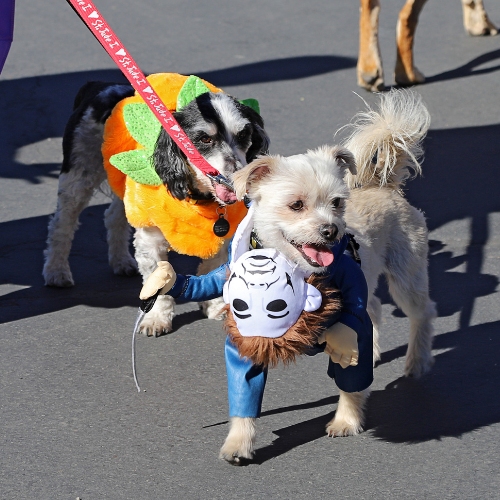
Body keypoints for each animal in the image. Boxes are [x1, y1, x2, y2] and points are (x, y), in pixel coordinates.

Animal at [43, 78, 270, 334]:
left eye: (244, 135)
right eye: (204, 139)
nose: (236, 175)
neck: (198, 196)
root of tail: (99, 85)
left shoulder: (224, 236)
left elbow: (213, 267)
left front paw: (214, 306)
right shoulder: (150, 237)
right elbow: (157, 280)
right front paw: (156, 319)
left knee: (112, 215)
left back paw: (121, 261)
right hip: (79, 175)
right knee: (62, 223)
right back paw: (56, 271)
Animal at [221, 89, 436, 460]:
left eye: (337, 202)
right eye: (296, 205)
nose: (331, 230)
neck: (300, 274)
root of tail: (387, 187)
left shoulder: (350, 327)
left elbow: (352, 382)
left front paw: (347, 421)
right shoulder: (246, 335)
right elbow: (243, 394)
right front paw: (238, 441)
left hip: (405, 277)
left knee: (422, 314)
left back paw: (418, 361)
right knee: (375, 309)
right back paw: (376, 351)